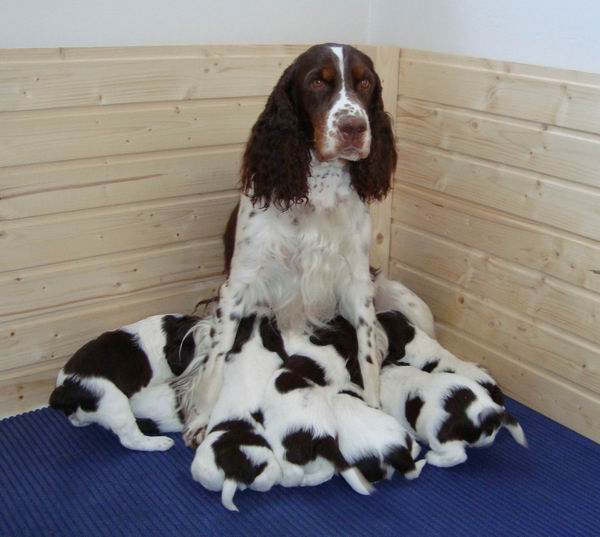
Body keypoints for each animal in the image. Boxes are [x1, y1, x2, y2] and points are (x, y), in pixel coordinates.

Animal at [183, 43, 397, 445]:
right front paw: (202, 418)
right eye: (317, 82)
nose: (354, 128)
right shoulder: (239, 284)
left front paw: (376, 408)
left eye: (364, 83)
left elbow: (367, 355)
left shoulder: (356, 281)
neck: (319, 189)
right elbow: (216, 359)